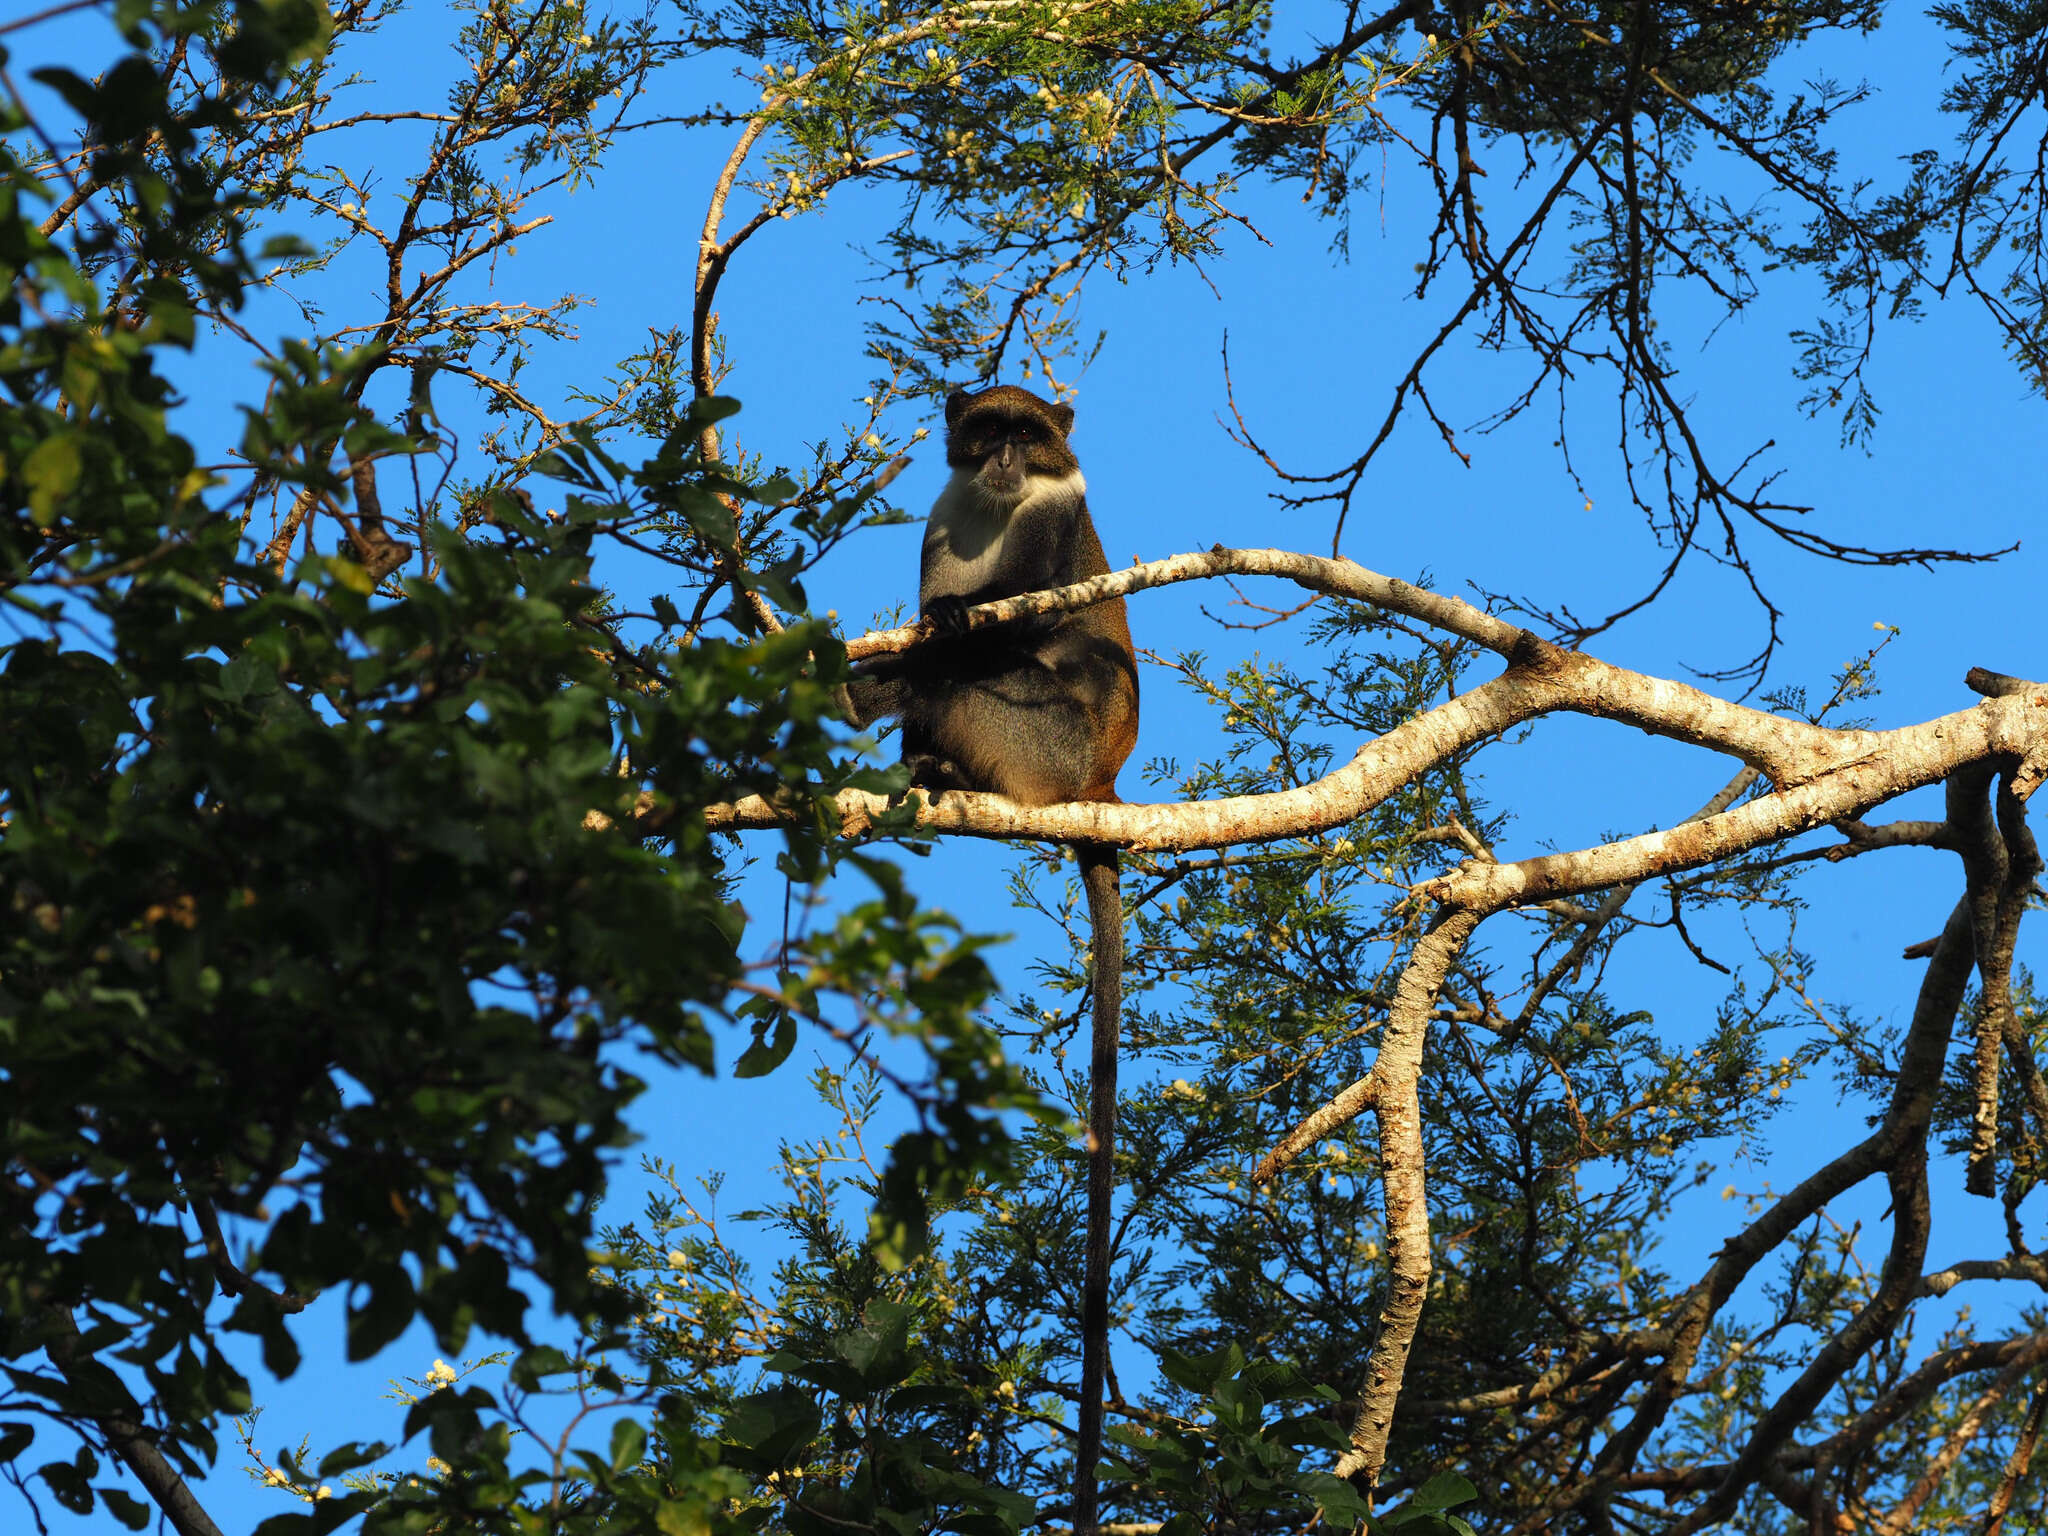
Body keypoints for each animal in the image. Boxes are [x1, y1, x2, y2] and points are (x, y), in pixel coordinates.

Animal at [843, 385, 1138, 1536]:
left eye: (1030, 436)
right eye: (986, 433)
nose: (1008, 459)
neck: (996, 506)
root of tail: (1092, 786)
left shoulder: (1059, 521)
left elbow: (1015, 627)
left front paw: (907, 657)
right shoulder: (939, 518)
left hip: (1040, 741)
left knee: (988, 675)